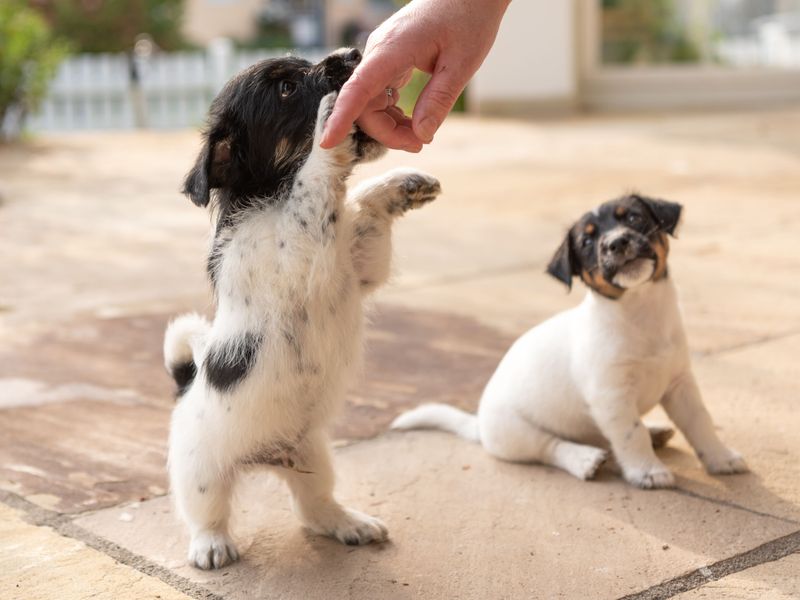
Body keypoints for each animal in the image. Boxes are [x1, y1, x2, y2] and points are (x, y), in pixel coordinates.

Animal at [160, 49, 440, 568]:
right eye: (287, 88)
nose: (353, 54)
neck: (271, 198)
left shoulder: (359, 265)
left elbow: (362, 207)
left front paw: (401, 185)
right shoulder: (293, 250)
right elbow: (315, 179)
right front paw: (332, 122)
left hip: (314, 458)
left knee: (313, 507)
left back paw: (348, 523)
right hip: (200, 469)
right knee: (205, 511)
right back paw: (211, 545)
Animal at [390, 195, 748, 490]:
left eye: (633, 218)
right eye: (587, 240)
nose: (617, 242)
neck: (639, 313)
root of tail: (478, 425)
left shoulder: (680, 384)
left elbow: (700, 423)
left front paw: (721, 458)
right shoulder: (611, 397)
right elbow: (632, 434)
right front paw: (647, 471)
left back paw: (656, 430)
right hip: (517, 433)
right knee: (551, 447)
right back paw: (585, 460)